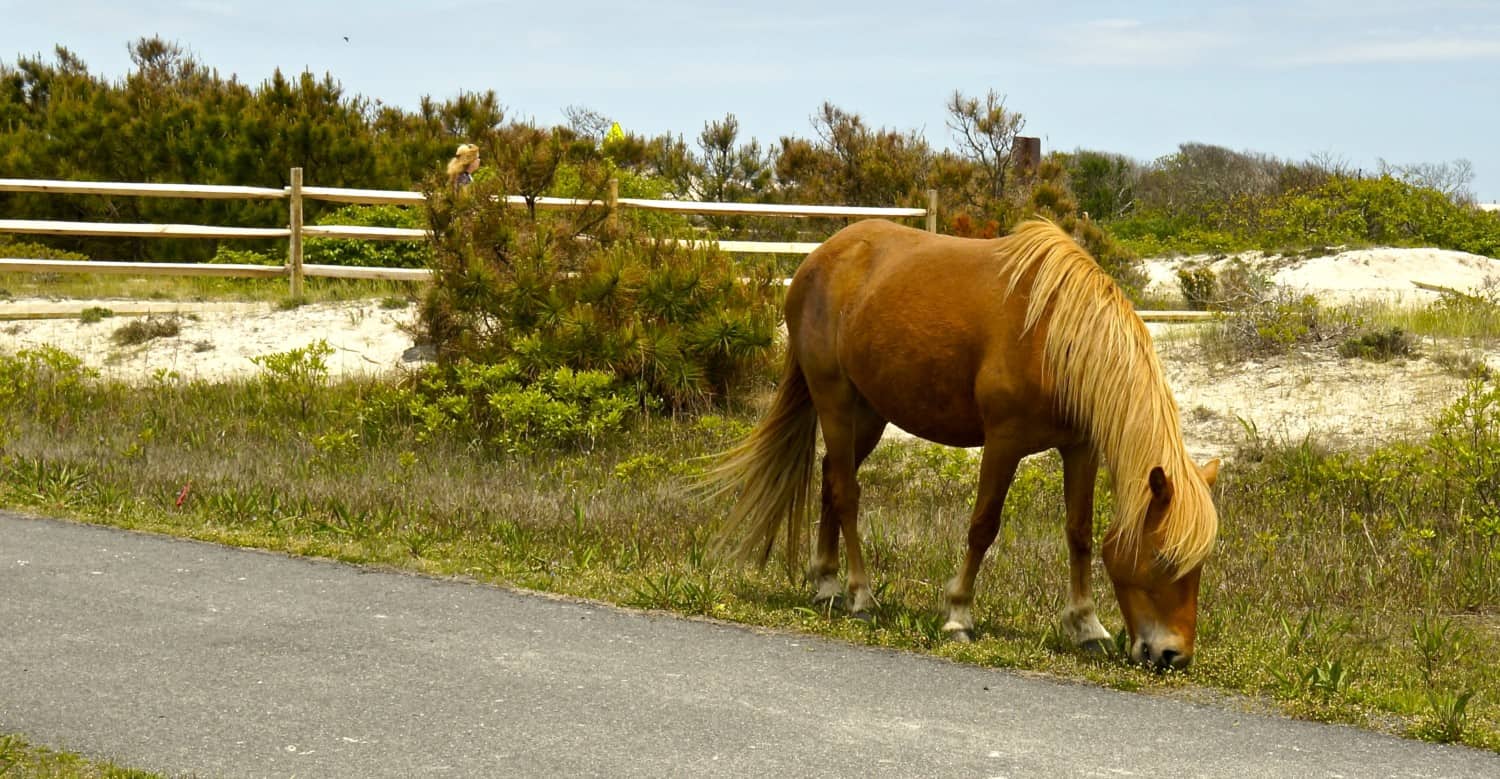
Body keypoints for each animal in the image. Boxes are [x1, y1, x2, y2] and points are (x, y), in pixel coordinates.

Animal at [711, 217, 1218, 669]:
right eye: (1164, 557)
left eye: (1199, 564)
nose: (1173, 656)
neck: (1057, 336)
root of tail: (817, 259)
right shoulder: (1004, 441)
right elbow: (983, 526)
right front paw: (958, 614)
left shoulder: (1080, 448)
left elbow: (1079, 534)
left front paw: (1087, 627)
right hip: (833, 399)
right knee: (848, 494)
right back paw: (860, 595)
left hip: (869, 412)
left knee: (832, 482)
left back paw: (827, 584)